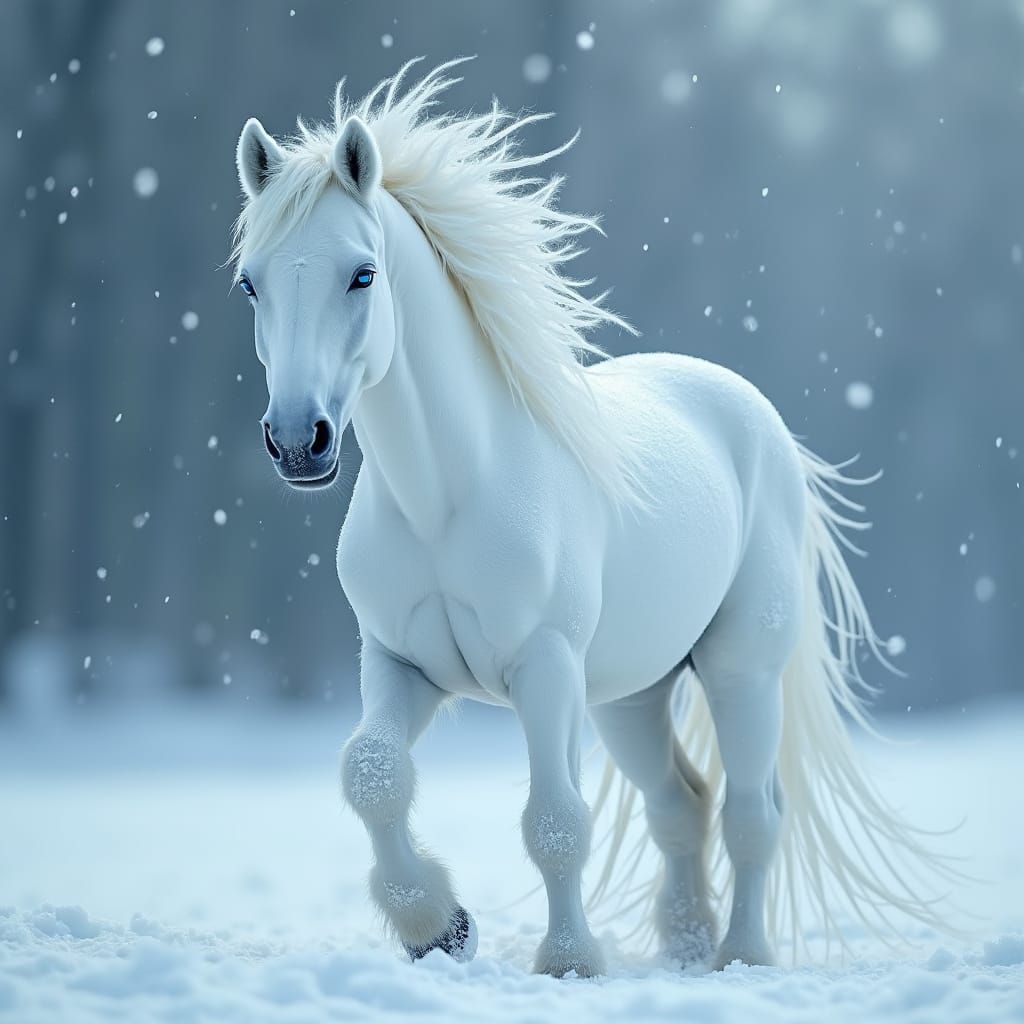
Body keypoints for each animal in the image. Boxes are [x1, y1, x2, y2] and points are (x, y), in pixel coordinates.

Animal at [230, 59, 952, 977]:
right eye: (251, 281)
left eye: (362, 274)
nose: (298, 441)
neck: (447, 497)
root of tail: (751, 414)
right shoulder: (399, 662)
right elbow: (371, 773)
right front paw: (437, 925)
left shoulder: (545, 668)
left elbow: (556, 822)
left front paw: (569, 962)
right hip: (631, 694)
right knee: (683, 803)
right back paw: (685, 946)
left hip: (739, 672)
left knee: (754, 813)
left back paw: (740, 956)